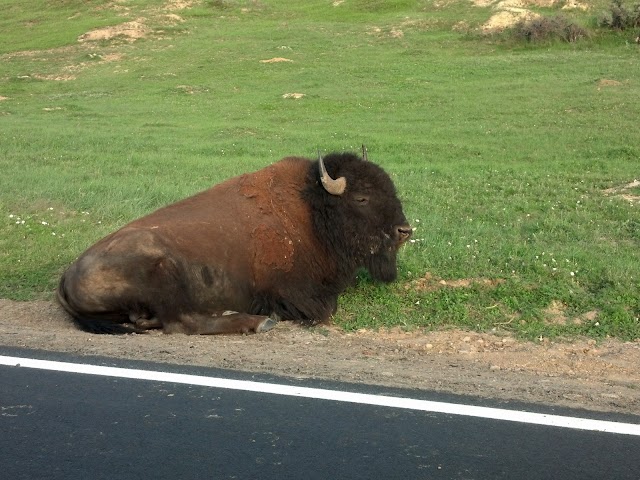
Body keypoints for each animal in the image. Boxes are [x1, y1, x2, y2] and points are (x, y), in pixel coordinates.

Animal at [57, 149, 412, 334]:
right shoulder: (293, 293)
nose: (404, 231)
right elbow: (325, 308)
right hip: (163, 271)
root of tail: (66, 275)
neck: (312, 211)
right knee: (183, 323)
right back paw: (257, 322)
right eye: (362, 197)